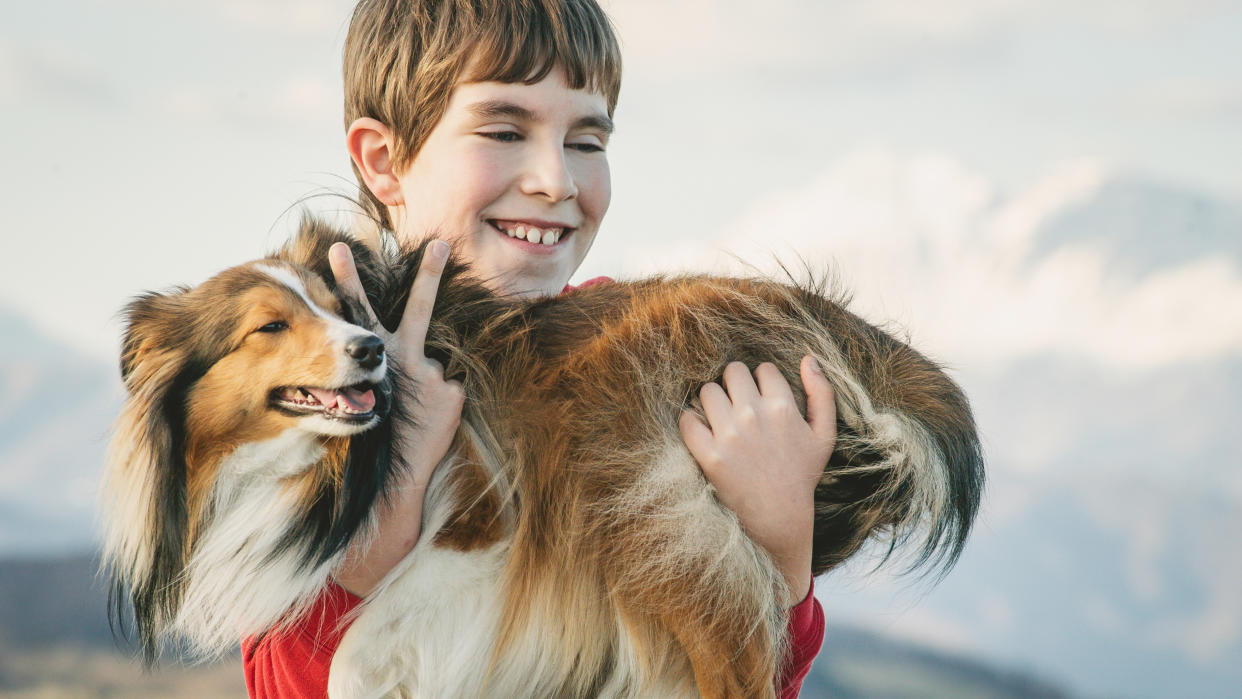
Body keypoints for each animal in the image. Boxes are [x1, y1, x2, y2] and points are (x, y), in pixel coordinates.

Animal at [101, 216, 983, 695]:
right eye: (269, 326)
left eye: (341, 306)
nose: (373, 351)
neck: (324, 475)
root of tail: (815, 313)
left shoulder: (487, 532)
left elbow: (357, 653)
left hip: (645, 515)